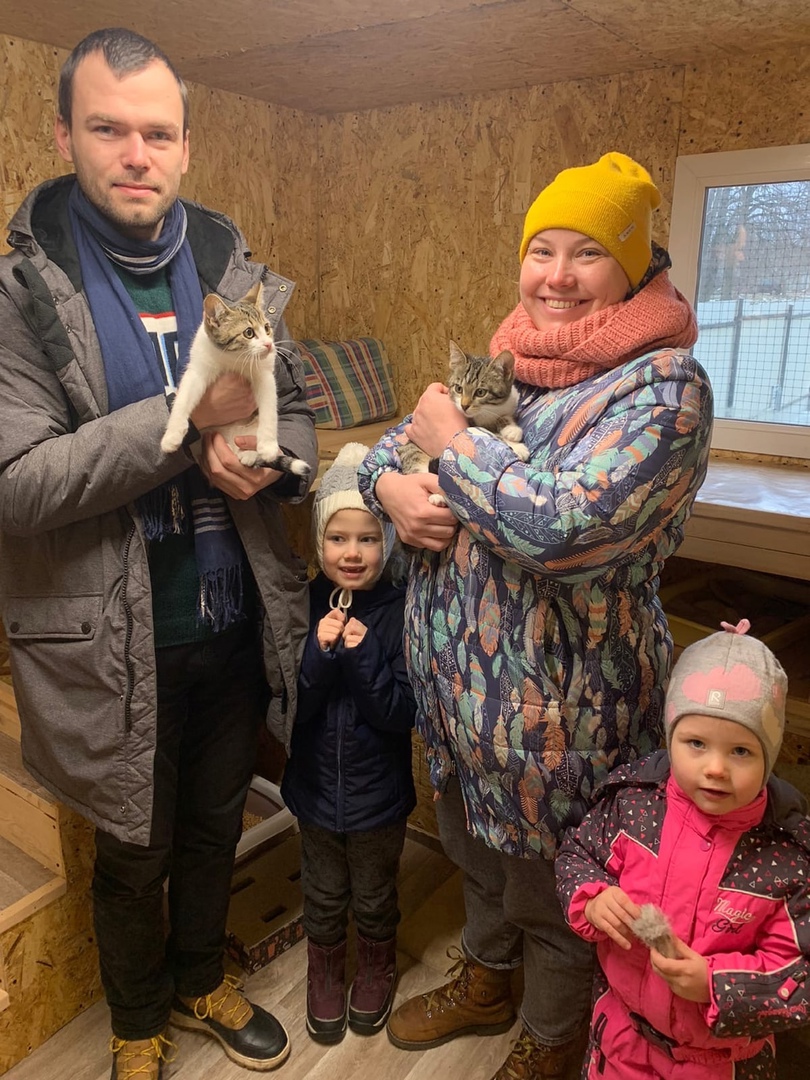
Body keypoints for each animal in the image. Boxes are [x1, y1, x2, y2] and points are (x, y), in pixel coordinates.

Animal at [160, 280, 311, 477]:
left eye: (267, 328)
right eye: (248, 332)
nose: (269, 344)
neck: (232, 359)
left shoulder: (264, 375)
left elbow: (269, 410)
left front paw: (268, 447)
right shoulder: (198, 369)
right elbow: (183, 398)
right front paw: (171, 435)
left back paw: (250, 455)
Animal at [399, 340, 529, 505]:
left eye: (481, 392)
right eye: (459, 388)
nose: (464, 405)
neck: (488, 410)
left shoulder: (509, 403)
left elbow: (504, 416)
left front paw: (511, 429)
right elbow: (488, 432)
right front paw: (517, 446)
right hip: (412, 451)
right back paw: (438, 496)